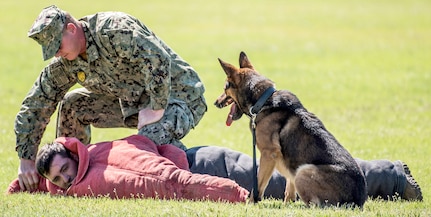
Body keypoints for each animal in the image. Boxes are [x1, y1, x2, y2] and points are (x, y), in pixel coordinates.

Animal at [216, 51, 368, 208]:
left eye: (225, 88)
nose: (216, 103)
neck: (263, 101)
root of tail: (357, 201)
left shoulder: (268, 154)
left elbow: (258, 185)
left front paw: (251, 203)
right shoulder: (289, 167)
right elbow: (289, 189)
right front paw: (286, 205)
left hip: (303, 171)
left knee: (315, 205)